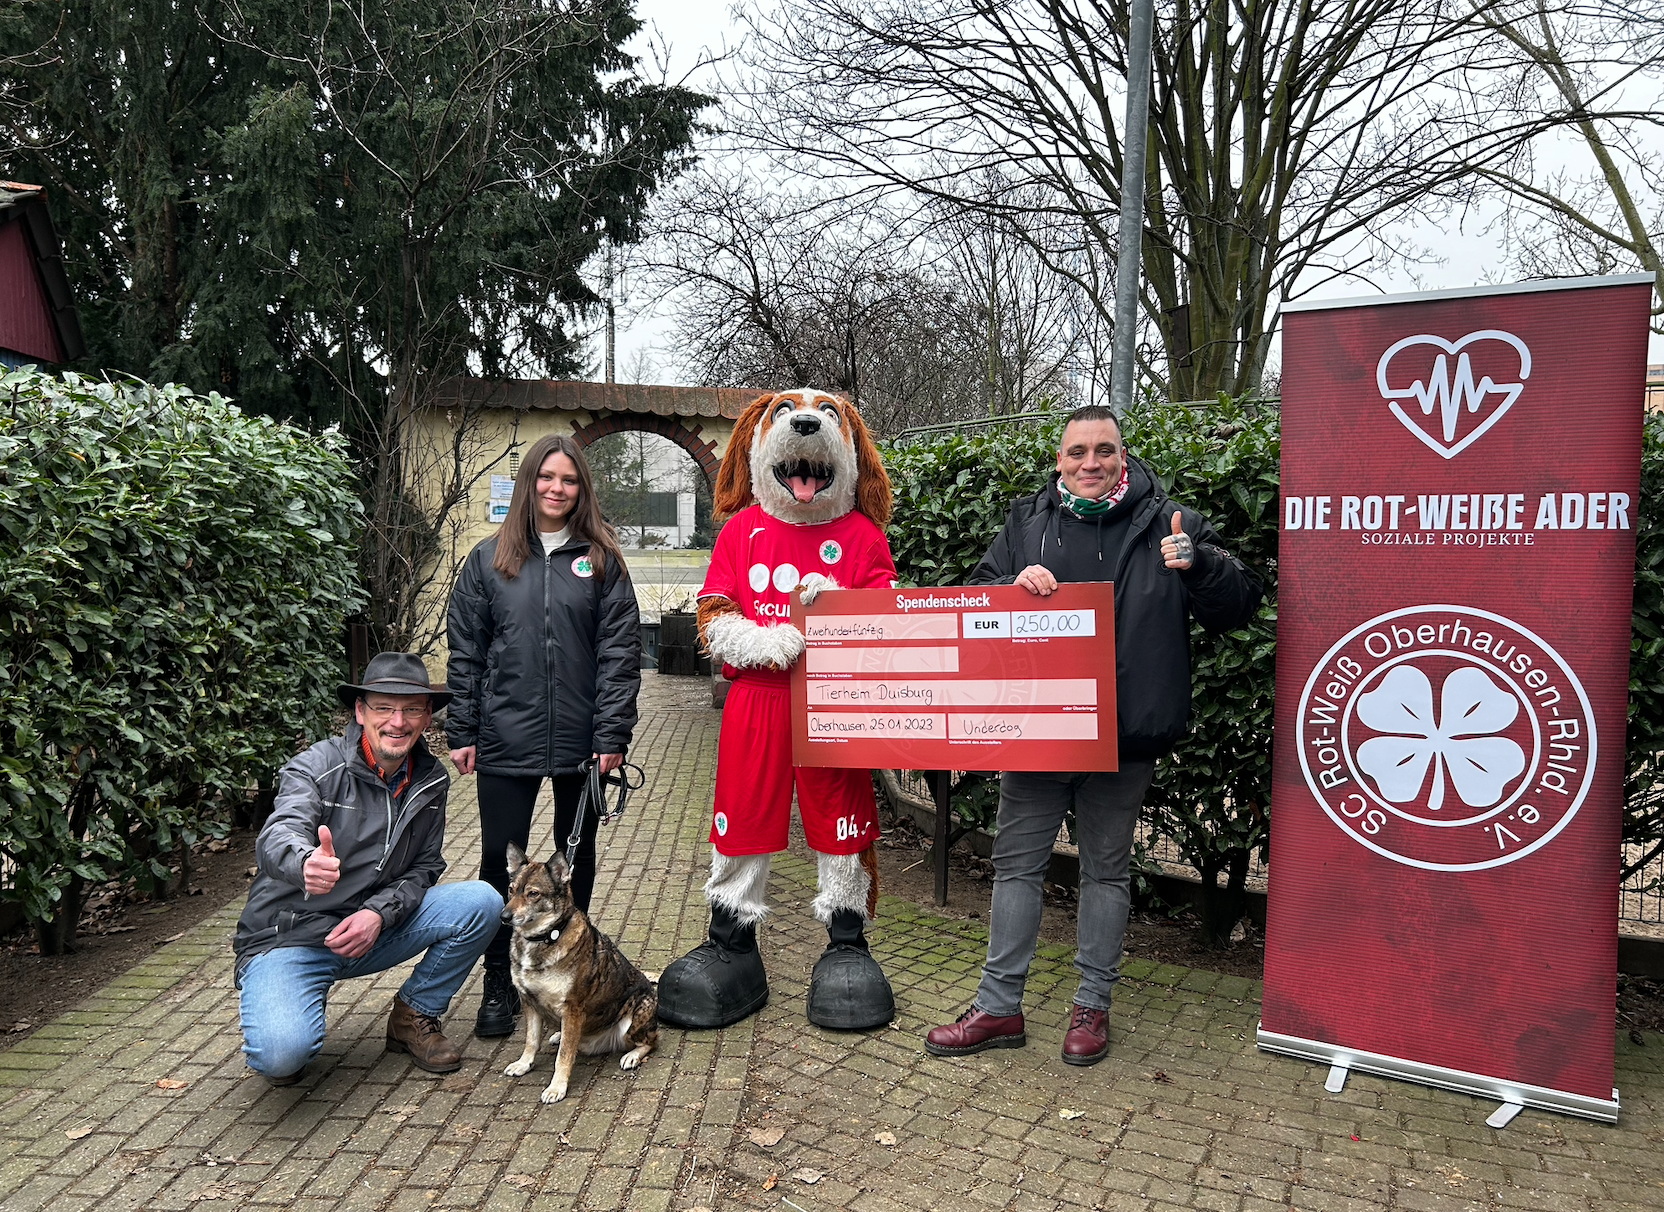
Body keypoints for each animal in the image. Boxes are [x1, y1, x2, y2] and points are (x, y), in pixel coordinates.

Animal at [492, 849, 655, 1105]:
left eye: (533, 894)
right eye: (511, 889)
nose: (504, 916)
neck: (545, 937)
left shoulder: (572, 1008)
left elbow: (564, 1055)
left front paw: (557, 1087)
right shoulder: (529, 1001)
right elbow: (531, 1040)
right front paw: (523, 1064)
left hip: (635, 1016)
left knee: (651, 1040)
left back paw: (632, 1056)